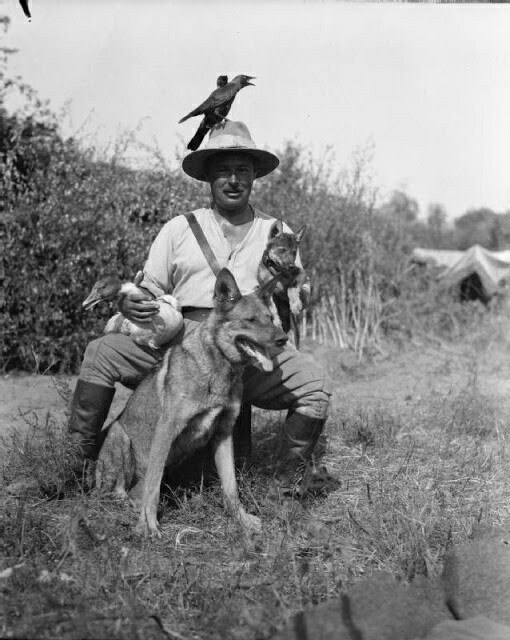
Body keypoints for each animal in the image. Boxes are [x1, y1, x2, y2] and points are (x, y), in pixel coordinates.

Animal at [96, 268, 286, 536]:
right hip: (118, 434)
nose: (283, 339)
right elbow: (153, 486)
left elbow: (231, 487)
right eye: (250, 320)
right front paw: (149, 526)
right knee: (116, 492)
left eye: (270, 318)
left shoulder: (223, 434)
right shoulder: (166, 431)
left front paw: (241, 520)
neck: (219, 366)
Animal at [256, 221, 308, 350]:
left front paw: (295, 304)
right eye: (281, 250)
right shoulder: (267, 290)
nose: (291, 266)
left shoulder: (301, 273)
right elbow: (272, 308)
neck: (278, 271)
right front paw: (276, 321)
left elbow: (292, 287)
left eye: (294, 252)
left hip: (295, 329)